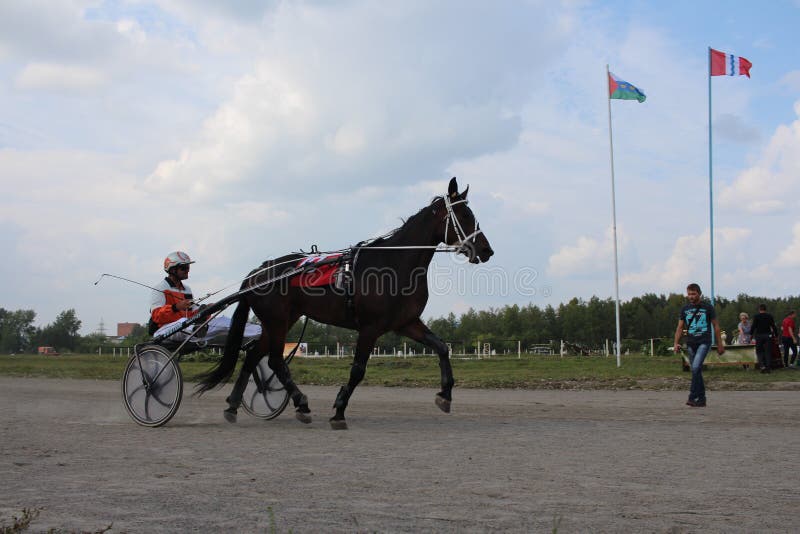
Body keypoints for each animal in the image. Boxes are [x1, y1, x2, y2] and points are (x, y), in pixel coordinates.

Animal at [197, 177, 490, 432]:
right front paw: (338, 411)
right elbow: (358, 370)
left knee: (254, 356)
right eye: (465, 215)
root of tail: (257, 273)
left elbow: (442, 347)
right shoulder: (370, 328)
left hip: (280, 320)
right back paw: (301, 404)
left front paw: (445, 395)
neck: (394, 264)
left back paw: (233, 406)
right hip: (277, 320)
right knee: (275, 360)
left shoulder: (406, 322)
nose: (487, 250)